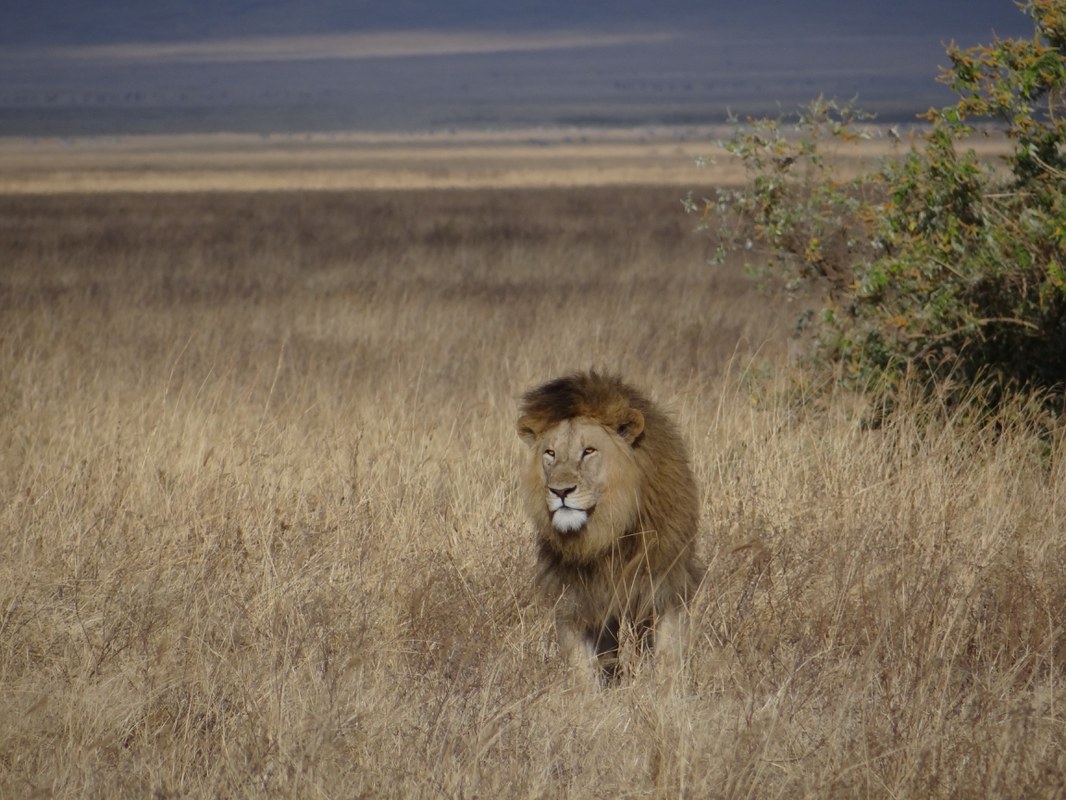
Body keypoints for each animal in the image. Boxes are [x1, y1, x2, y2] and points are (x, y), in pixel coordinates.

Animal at [516, 371, 700, 686]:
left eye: (588, 451)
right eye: (550, 453)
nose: (559, 491)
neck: (605, 533)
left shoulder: (664, 585)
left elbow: (667, 656)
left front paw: (669, 692)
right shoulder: (575, 597)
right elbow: (579, 666)